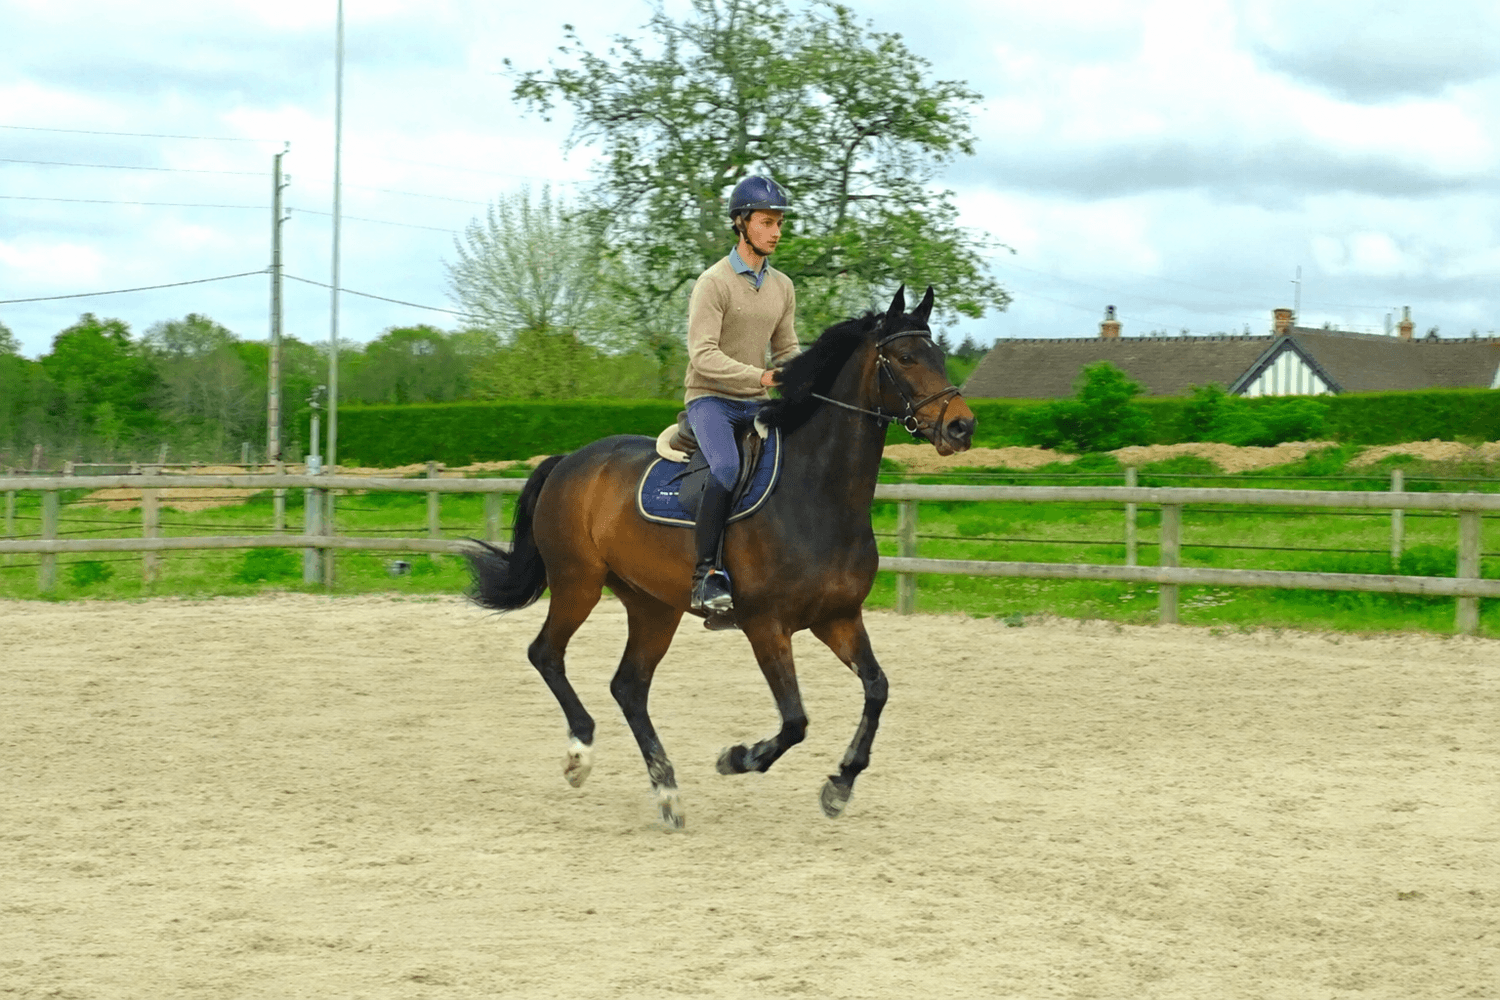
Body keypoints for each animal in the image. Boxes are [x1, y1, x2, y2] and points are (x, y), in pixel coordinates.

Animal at [464, 285, 976, 827]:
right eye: (905, 358)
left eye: (940, 355)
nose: (962, 426)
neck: (818, 493)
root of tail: (570, 461)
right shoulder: (766, 626)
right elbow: (795, 721)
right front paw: (738, 758)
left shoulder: (838, 618)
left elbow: (877, 689)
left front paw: (840, 784)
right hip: (577, 582)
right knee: (547, 654)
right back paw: (581, 754)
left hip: (653, 605)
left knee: (629, 686)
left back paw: (667, 790)